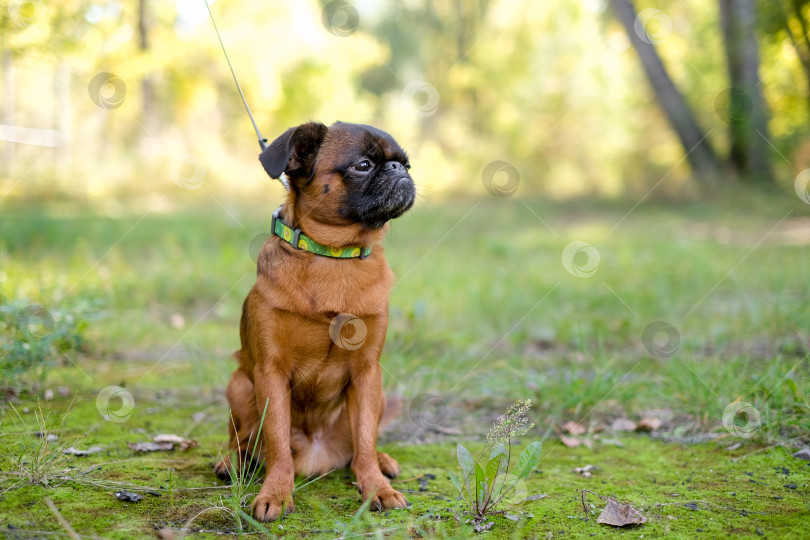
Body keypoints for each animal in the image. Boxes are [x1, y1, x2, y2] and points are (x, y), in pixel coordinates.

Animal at [213, 120, 414, 520]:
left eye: (405, 163)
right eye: (363, 165)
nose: (398, 169)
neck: (335, 257)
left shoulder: (368, 372)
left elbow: (365, 437)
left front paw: (377, 488)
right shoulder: (271, 373)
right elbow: (276, 441)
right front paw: (276, 492)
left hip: (379, 394)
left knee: (360, 447)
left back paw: (382, 461)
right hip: (239, 385)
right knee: (242, 439)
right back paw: (232, 462)